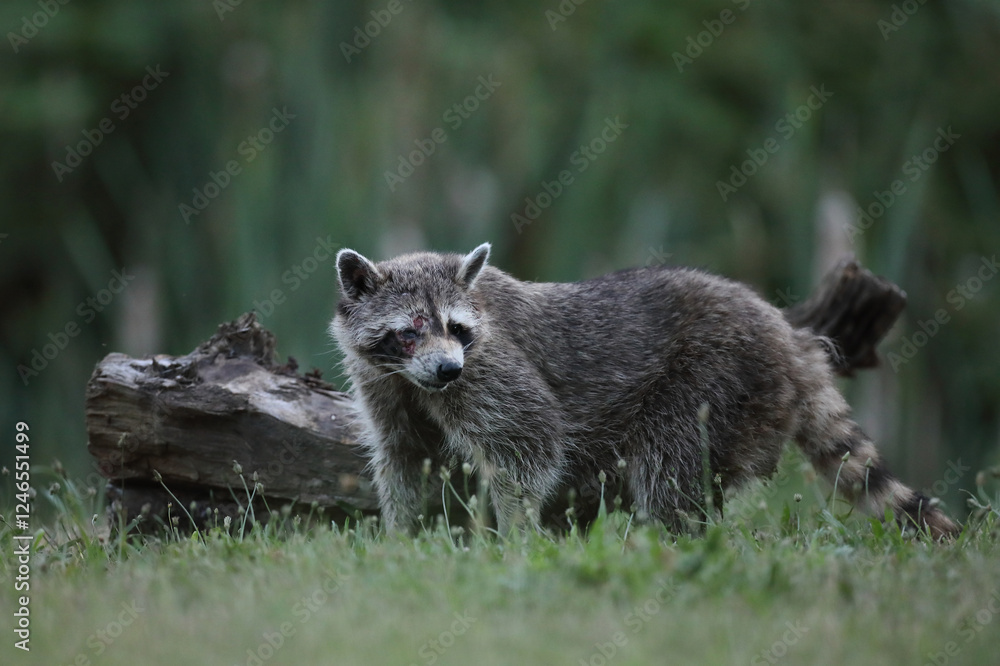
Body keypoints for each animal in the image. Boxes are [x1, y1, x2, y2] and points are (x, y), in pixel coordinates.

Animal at [330, 243, 959, 539]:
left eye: (456, 328)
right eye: (411, 331)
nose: (447, 371)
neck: (412, 378)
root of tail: (790, 339)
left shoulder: (491, 369)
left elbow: (530, 443)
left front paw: (515, 534)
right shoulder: (387, 387)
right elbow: (409, 462)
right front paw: (406, 536)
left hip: (716, 375)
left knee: (669, 468)